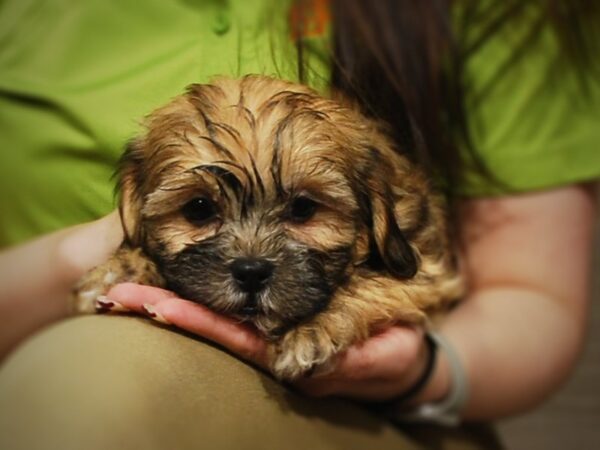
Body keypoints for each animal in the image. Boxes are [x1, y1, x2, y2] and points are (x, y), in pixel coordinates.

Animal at [71, 74, 464, 380]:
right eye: (199, 209)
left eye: (303, 208)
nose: (251, 271)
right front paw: (119, 270)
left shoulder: (429, 269)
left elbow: (374, 284)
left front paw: (312, 330)